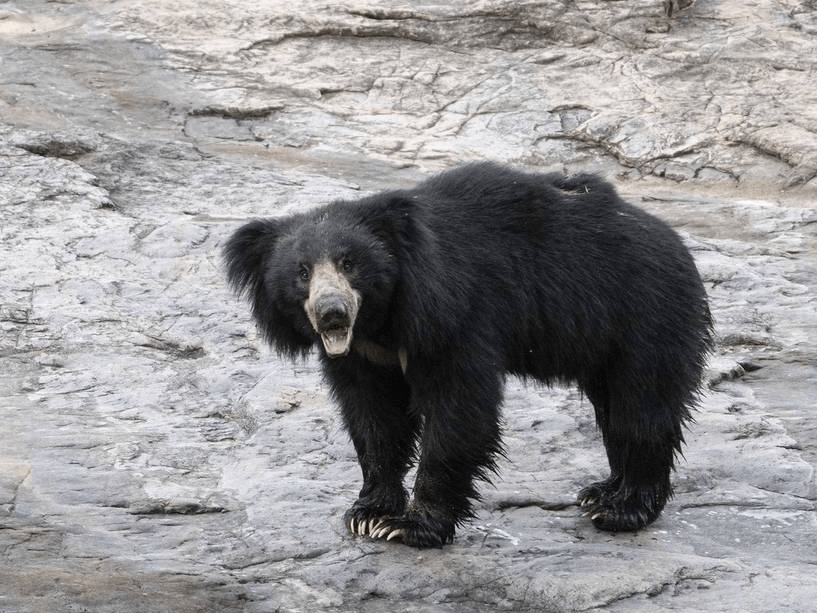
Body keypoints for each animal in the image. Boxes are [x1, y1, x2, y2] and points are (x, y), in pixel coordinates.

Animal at [224, 162, 713, 548]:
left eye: (349, 263)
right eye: (302, 271)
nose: (331, 314)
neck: (382, 320)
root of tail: (676, 242)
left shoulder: (454, 312)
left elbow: (458, 409)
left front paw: (410, 527)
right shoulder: (364, 355)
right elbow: (374, 418)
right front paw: (368, 513)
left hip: (643, 313)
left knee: (641, 407)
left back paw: (622, 509)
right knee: (613, 407)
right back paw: (600, 490)